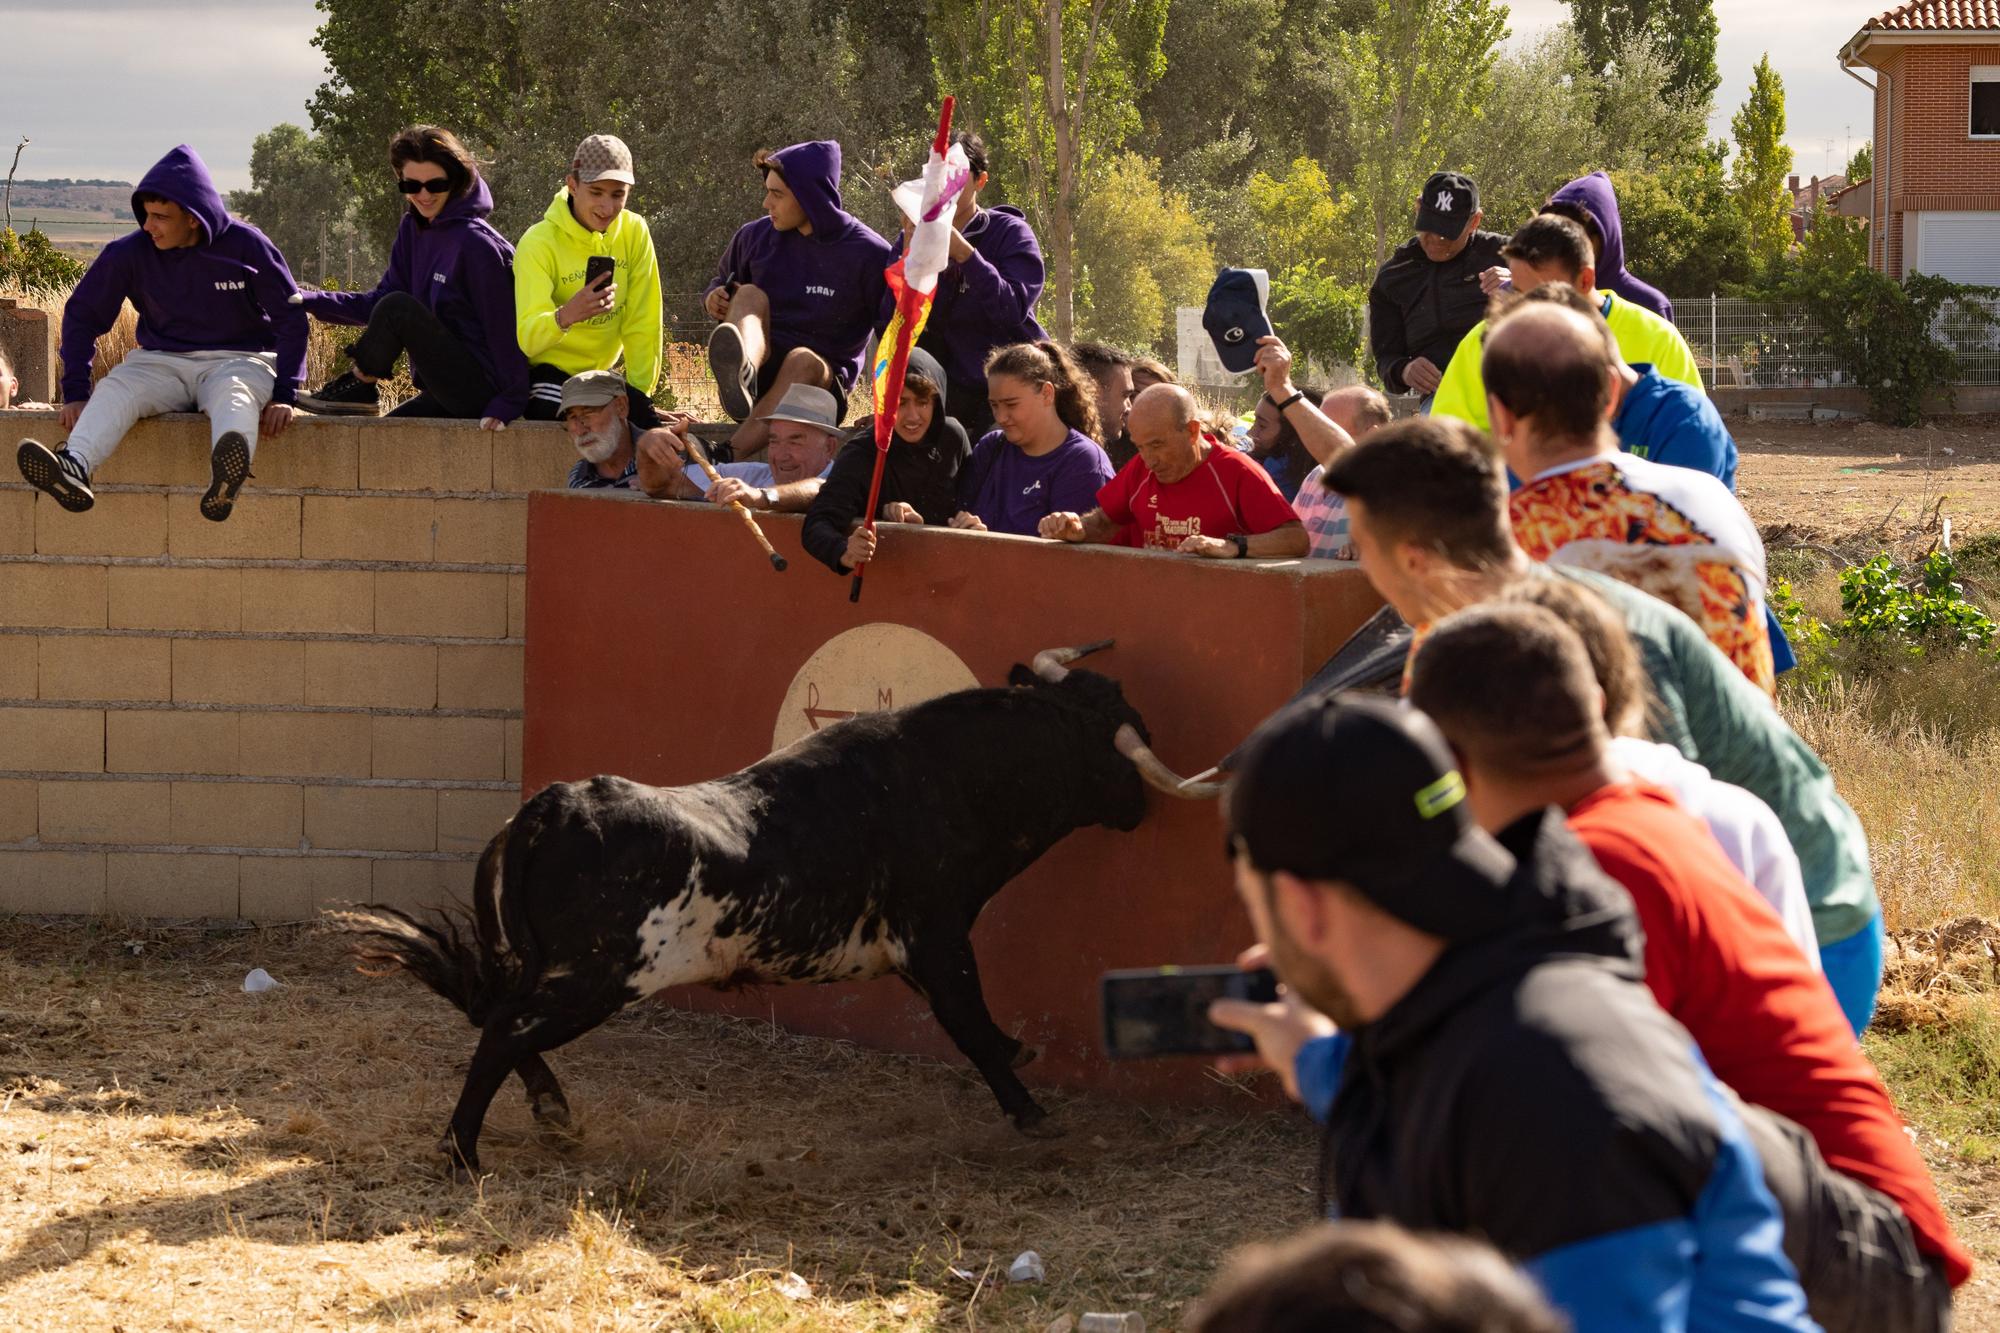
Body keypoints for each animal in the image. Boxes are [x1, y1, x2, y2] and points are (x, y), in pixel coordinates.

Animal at [332, 640, 1216, 1168]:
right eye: (1116, 735)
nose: (1140, 804)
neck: (948, 777)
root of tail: (554, 805)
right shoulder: (936, 939)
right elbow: (972, 1026)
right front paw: (1031, 1103)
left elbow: (973, 1027)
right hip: (596, 978)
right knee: (501, 1032)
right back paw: (463, 1151)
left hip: (560, 974)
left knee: (498, 1019)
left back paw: (550, 1113)